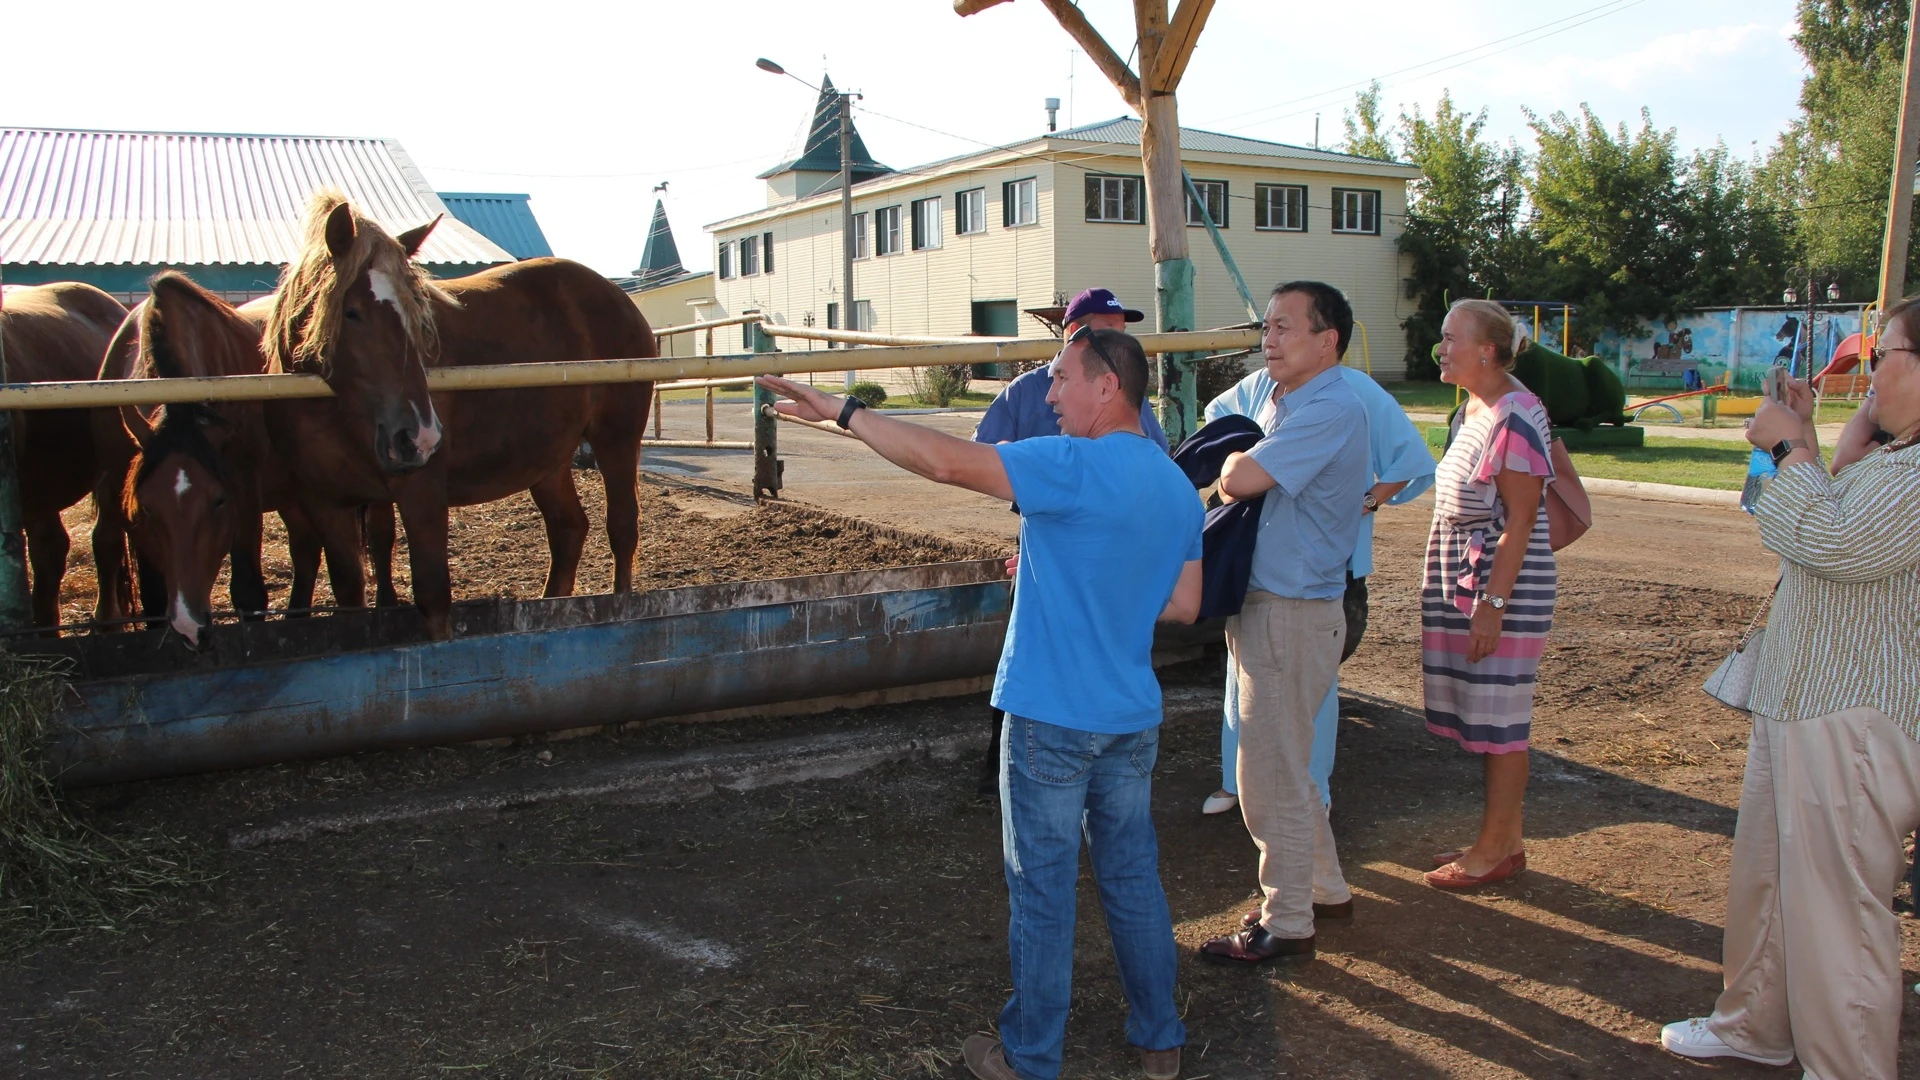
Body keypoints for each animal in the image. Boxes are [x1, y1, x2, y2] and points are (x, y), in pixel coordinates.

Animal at [263, 192, 652, 634]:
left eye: (419, 317)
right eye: (352, 312)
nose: (419, 436)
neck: (332, 413)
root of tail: (619, 297)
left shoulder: (421, 491)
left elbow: (433, 597)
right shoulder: (327, 505)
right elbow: (349, 595)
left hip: (616, 442)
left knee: (621, 529)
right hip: (548, 461)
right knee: (568, 530)